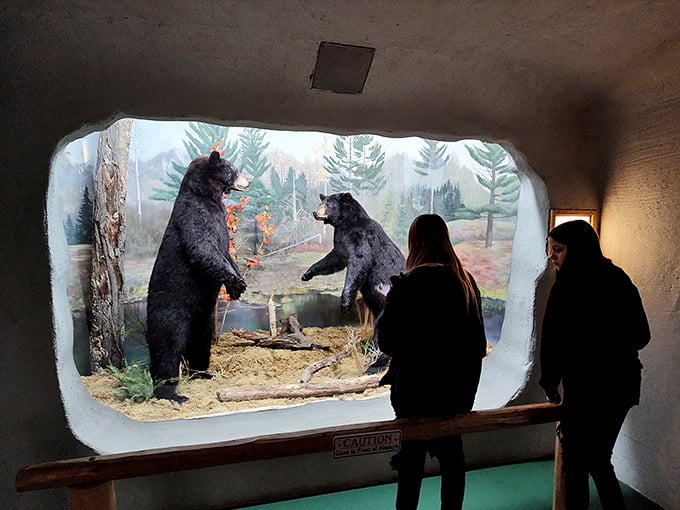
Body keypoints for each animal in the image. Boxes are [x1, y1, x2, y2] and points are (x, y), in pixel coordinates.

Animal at [146, 150, 250, 402]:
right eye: (234, 169)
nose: (248, 181)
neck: (208, 196)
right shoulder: (193, 213)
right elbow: (202, 247)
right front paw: (236, 283)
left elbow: (226, 253)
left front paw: (237, 281)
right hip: (169, 313)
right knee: (167, 349)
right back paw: (171, 393)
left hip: (203, 317)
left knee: (200, 342)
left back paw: (202, 373)